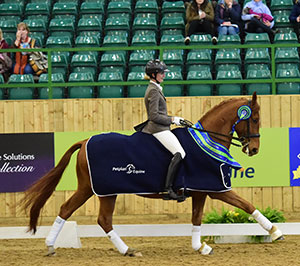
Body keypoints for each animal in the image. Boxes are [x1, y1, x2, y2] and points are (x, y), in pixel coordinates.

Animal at [21, 92, 284, 256]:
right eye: (255, 119)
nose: (254, 149)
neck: (207, 139)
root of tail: (85, 141)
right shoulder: (215, 188)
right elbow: (246, 204)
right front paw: (276, 232)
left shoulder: (201, 191)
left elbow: (197, 219)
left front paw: (200, 247)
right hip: (100, 190)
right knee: (94, 217)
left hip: (98, 190)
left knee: (83, 214)